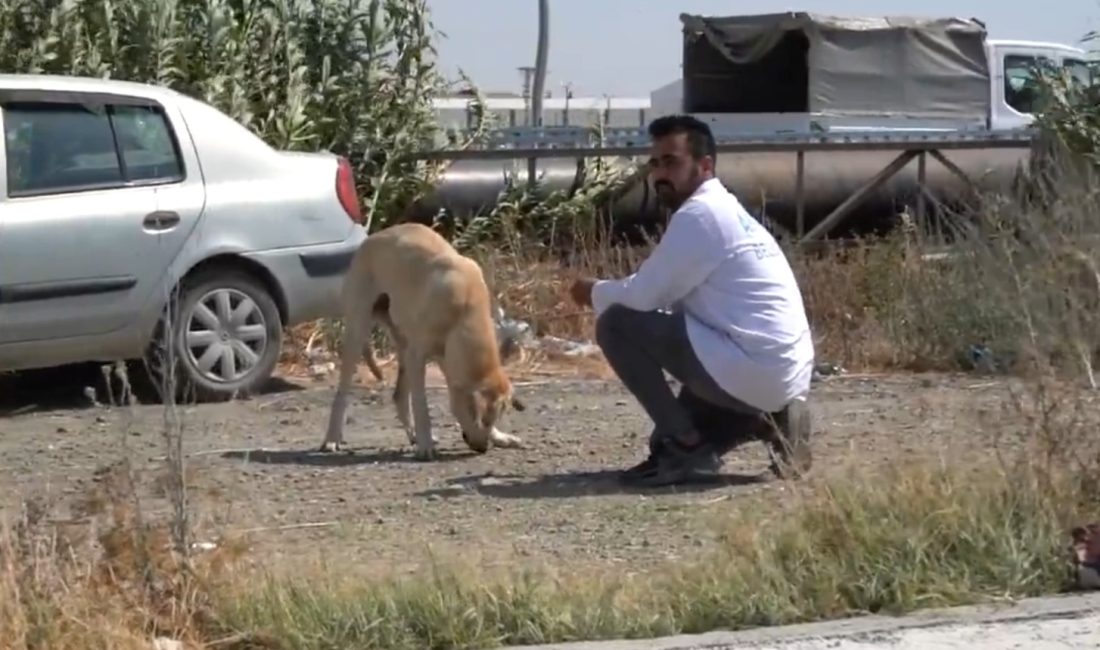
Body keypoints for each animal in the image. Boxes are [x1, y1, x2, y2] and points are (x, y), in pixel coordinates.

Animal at [321, 221, 525, 459]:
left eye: (492, 420)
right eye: (482, 419)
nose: (482, 448)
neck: (465, 309)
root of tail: (371, 238)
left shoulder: (444, 360)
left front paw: (500, 437)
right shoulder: (418, 357)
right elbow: (422, 407)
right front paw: (426, 445)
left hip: (403, 345)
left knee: (399, 397)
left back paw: (413, 435)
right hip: (359, 331)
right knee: (342, 394)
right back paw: (332, 438)